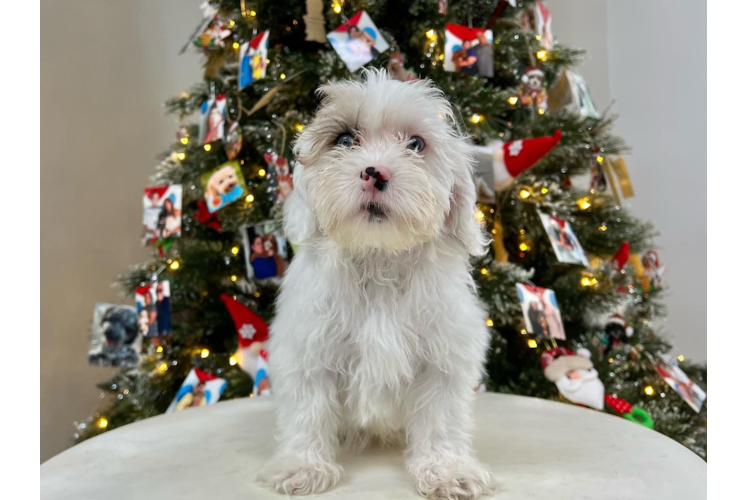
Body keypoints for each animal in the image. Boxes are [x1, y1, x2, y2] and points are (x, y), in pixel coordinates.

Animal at [260, 68, 494, 498]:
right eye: (344, 140)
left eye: (416, 144)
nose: (376, 172)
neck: (379, 256)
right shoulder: (308, 350)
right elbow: (307, 409)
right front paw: (303, 466)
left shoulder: (443, 358)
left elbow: (441, 417)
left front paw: (447, 469)